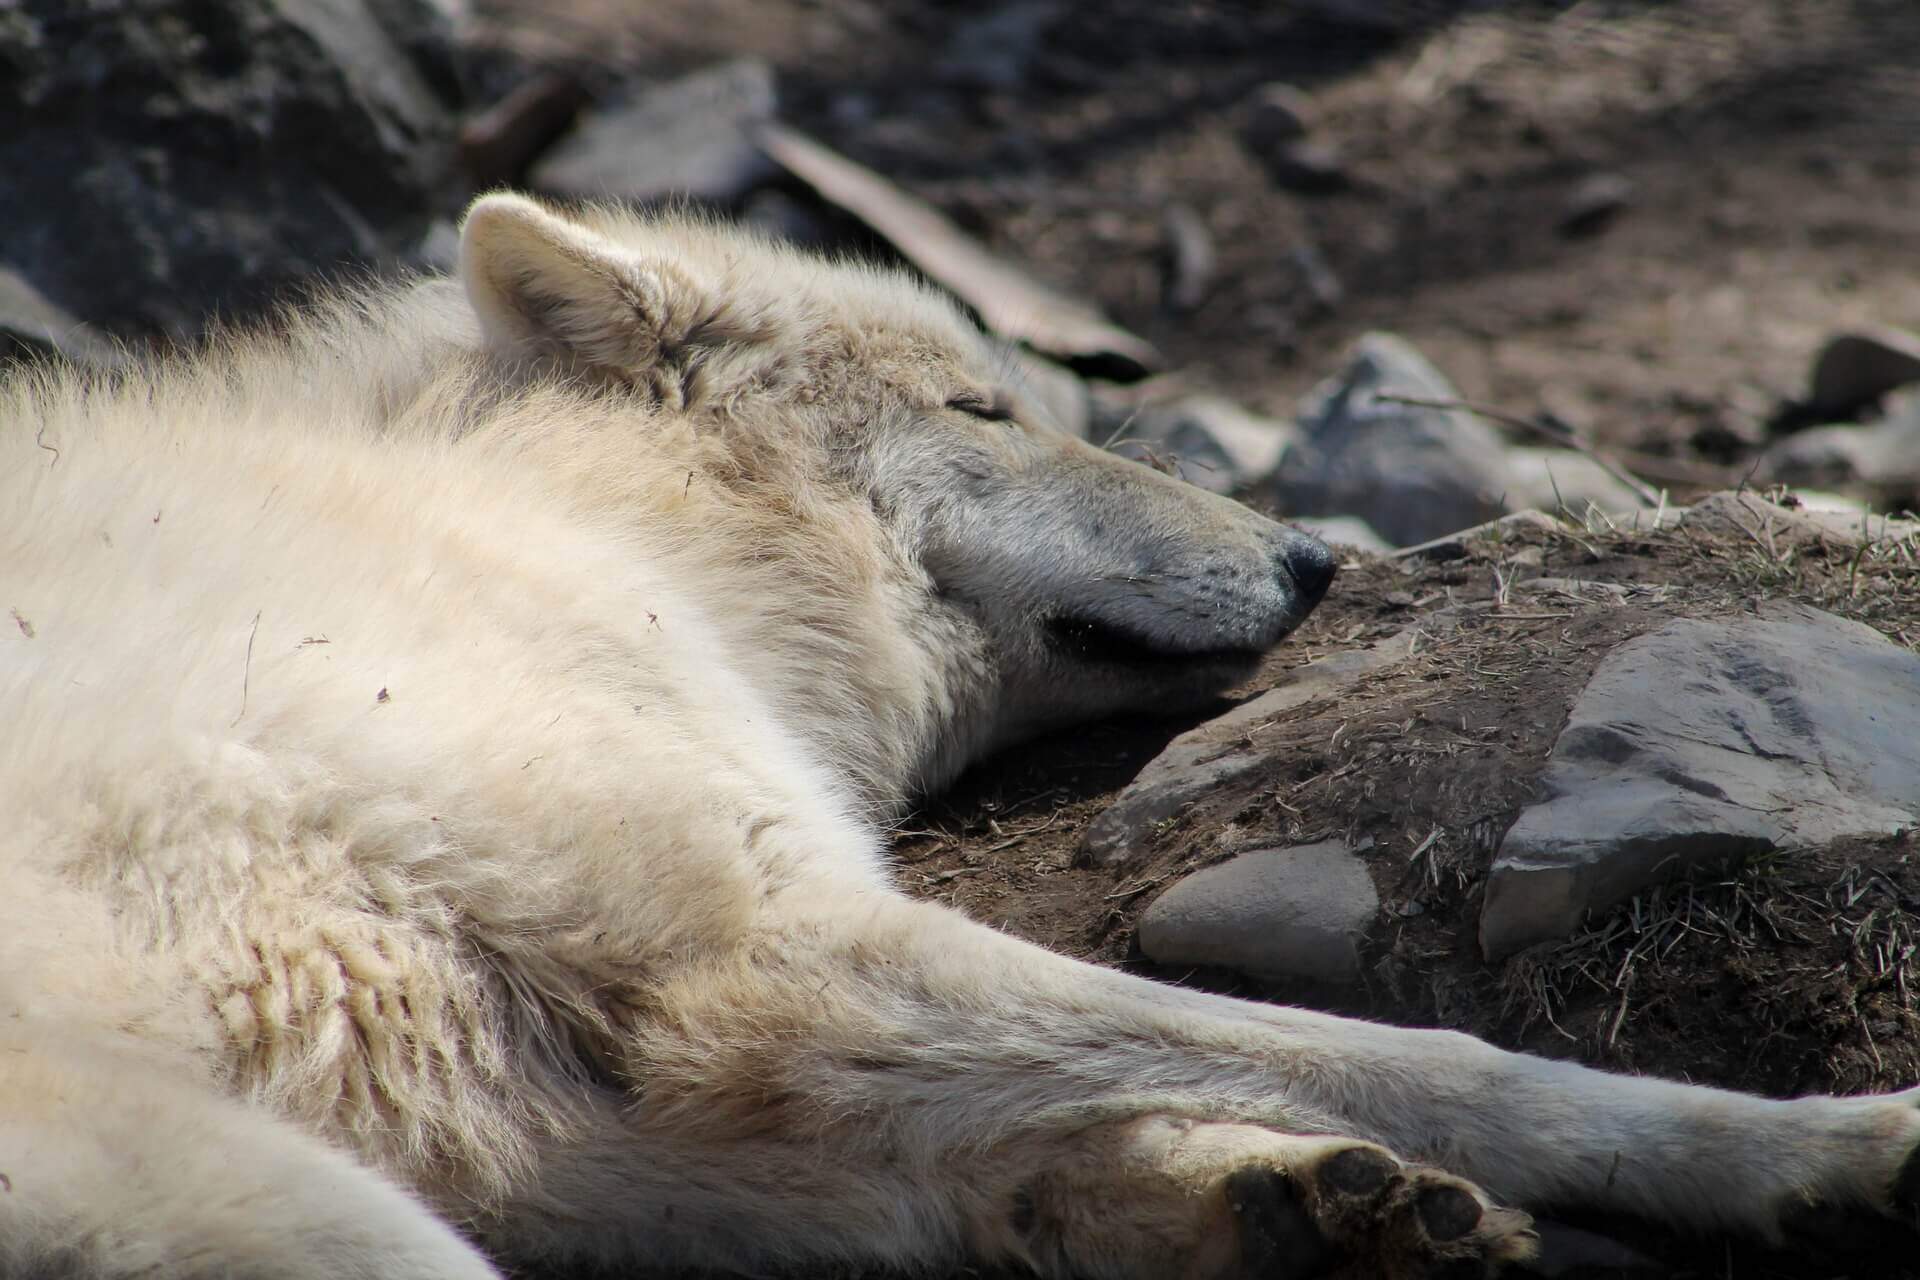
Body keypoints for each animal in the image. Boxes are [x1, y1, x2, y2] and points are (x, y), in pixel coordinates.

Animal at [3, 192, 1920, 1280]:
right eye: (984, 408)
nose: (1317, 557)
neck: (591, 532)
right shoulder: (761, 953)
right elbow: (1417, 1057)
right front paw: (1823, 1150)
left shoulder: (588, 1113)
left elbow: (1010, 1165)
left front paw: (1297, 1206)